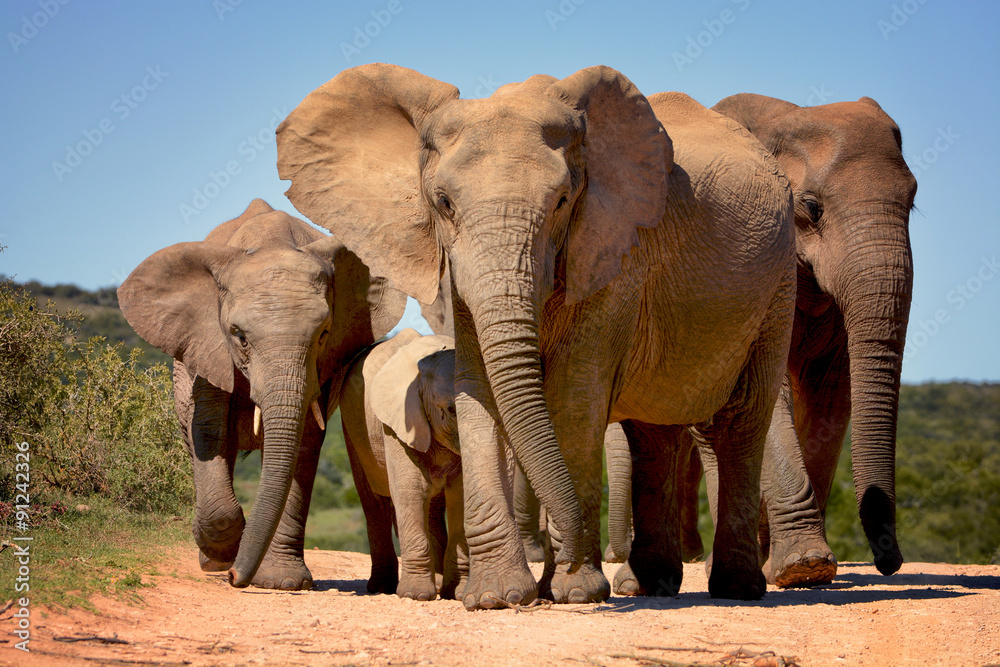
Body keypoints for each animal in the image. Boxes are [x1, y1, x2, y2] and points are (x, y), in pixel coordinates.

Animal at [118, 199, 405, 589]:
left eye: (323, 333)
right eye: (238, 335)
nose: (235, 577)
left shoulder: (324, 363)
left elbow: (304, 442)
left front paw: (281, 581)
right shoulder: (207, 343)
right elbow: (208, 428)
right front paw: (224, 555)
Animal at [338, 328, 467, 600]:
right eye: (451, 410)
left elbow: (460, 494)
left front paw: (457, 593)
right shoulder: (396, 424)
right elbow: (410, 490)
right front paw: (415, 595)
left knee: (432, 508)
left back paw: (438, 582)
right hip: (354, 429)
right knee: (374, 503)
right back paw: (382, 587)